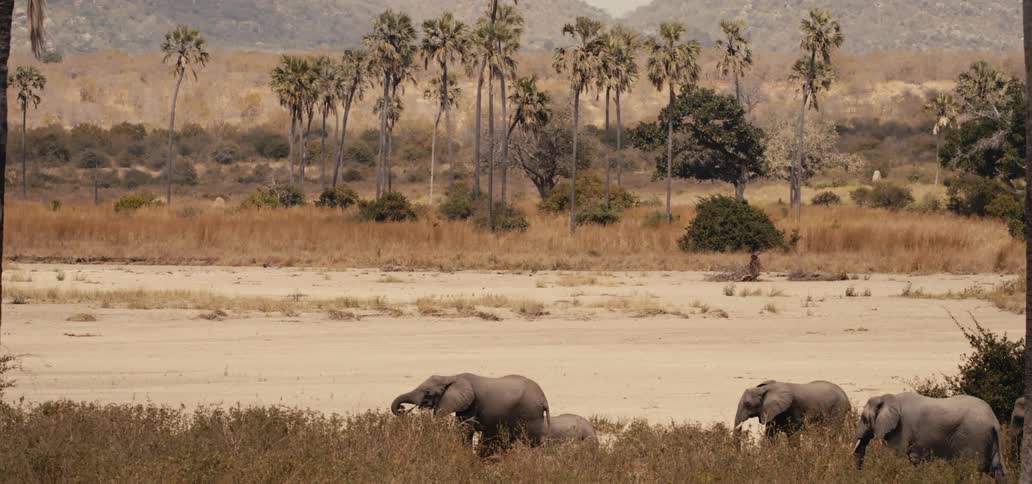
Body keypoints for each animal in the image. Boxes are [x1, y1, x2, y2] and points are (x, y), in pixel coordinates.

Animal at [390, 373, 550, 451]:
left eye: (428, 393)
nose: (402, 409)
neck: (451, 377)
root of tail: (544, 398)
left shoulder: (471, 403)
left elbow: (464, 429)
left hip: (530, 413)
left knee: (532, 440)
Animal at [853, 393, 1005, 480]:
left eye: (864, 419)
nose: (859, 474)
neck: (887, 397)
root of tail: (994, 420)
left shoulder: (901, 429)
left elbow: (894, 458)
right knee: (997, 470)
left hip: (973, 436)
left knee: (969, 469)